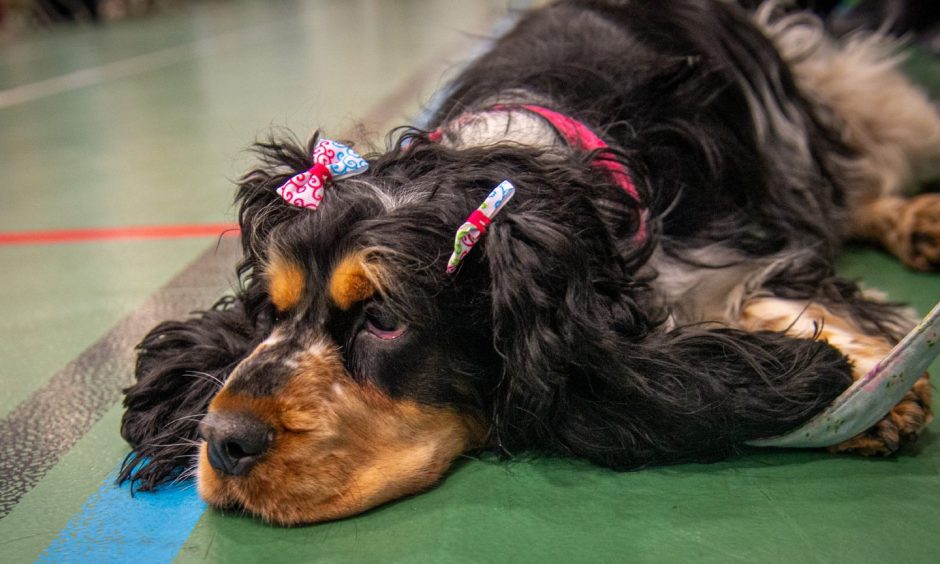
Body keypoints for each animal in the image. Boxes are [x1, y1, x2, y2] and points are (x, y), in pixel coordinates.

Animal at [121, 0, 936, 528]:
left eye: (383, 319)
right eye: (271, 310)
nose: (223, 441)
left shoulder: (730, 246)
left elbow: (774, 288)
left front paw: (873, 385)